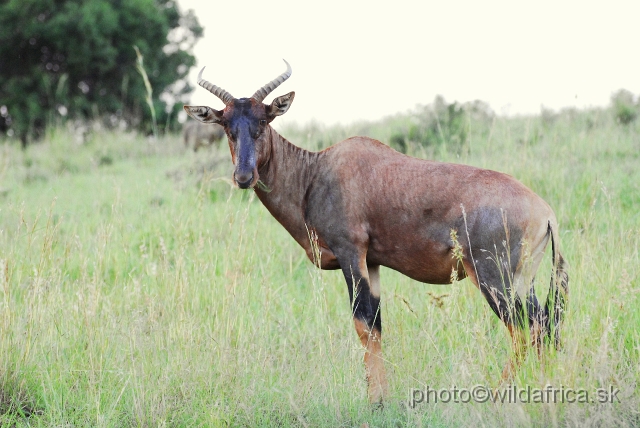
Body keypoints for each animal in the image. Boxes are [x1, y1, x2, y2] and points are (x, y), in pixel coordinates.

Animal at [182, 60, 568, 404]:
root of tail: (546, 213)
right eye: (226, 124)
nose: (243, 177)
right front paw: (381, 397)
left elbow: (363, 324)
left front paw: (375, 402)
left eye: (263, 120)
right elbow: (377, 327)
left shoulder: (352, 254)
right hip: (523, 281)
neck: (316, 172)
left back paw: (499, 395)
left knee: (525, 329)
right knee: (545, 325)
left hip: (493, 278)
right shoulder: (374, 263)